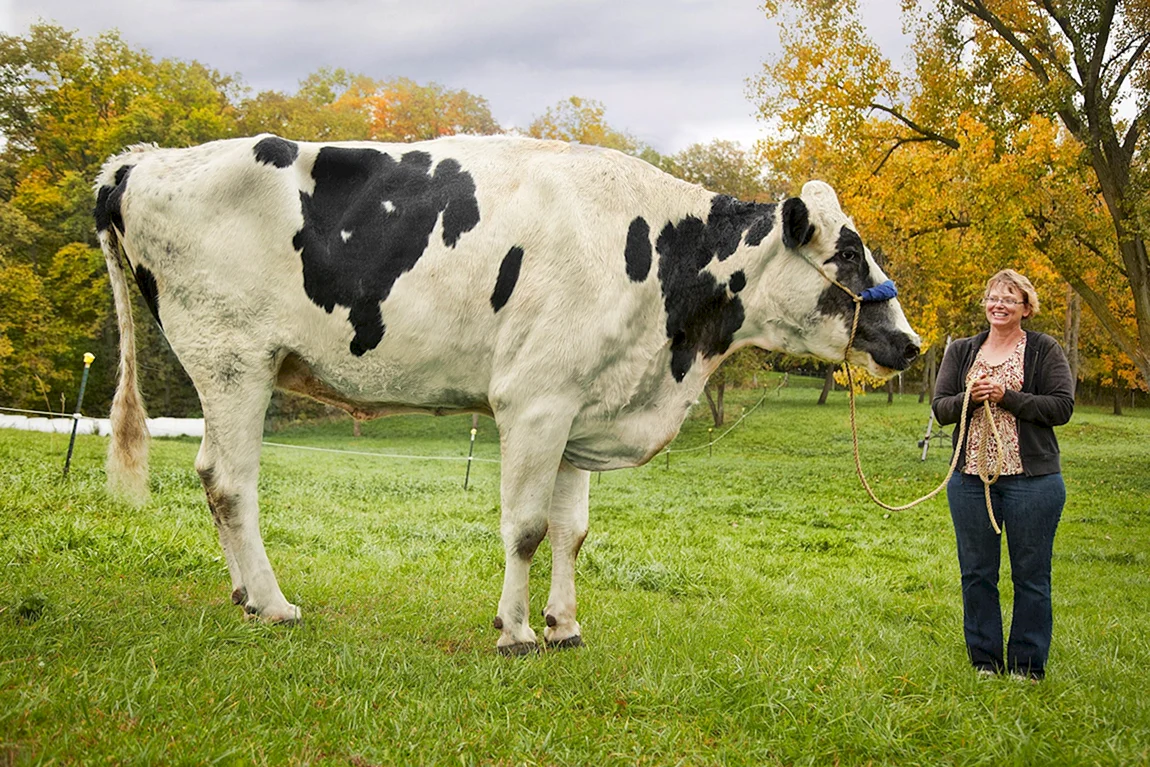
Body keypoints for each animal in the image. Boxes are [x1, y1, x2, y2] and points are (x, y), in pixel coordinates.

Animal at [95, 134, 920, 654]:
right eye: (849, 252)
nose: (910, 343)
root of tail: (142, 162)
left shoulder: (583, 405)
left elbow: (571, 531)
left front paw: (564, 626)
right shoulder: (535, 400)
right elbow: (525, 527)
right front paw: (517, 632)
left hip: (228, 369)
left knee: (210, 475)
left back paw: (243, 596)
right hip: (234, 359)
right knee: (232, 482)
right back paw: (273, 604)